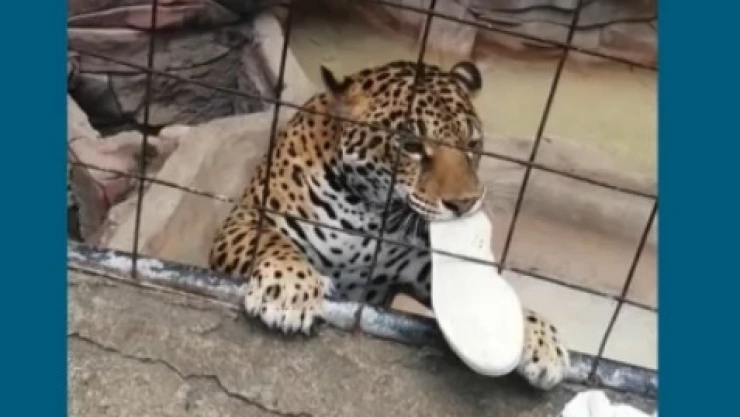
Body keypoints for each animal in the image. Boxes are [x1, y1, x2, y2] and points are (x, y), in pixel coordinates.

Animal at [208, 60, 570, 390]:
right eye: (411, 146)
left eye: (472, 144)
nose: (465, 203)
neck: (368, 211)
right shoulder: (245, 219)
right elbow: (272, 242)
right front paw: (290, 291)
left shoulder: (420, 268)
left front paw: (538, 336)